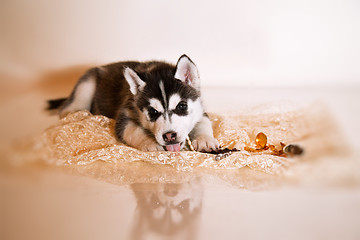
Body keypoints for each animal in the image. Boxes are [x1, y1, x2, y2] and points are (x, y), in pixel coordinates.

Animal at [46, 54, 218, 152]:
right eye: (153, 112)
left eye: (182, 106)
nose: (169, 136)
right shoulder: (125, 114)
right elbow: (134, 130)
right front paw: (149, 142)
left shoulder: (200, 109)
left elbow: (204, 122)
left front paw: (205, 139)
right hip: (87, 84)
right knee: (67, 109)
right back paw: (78, 114)